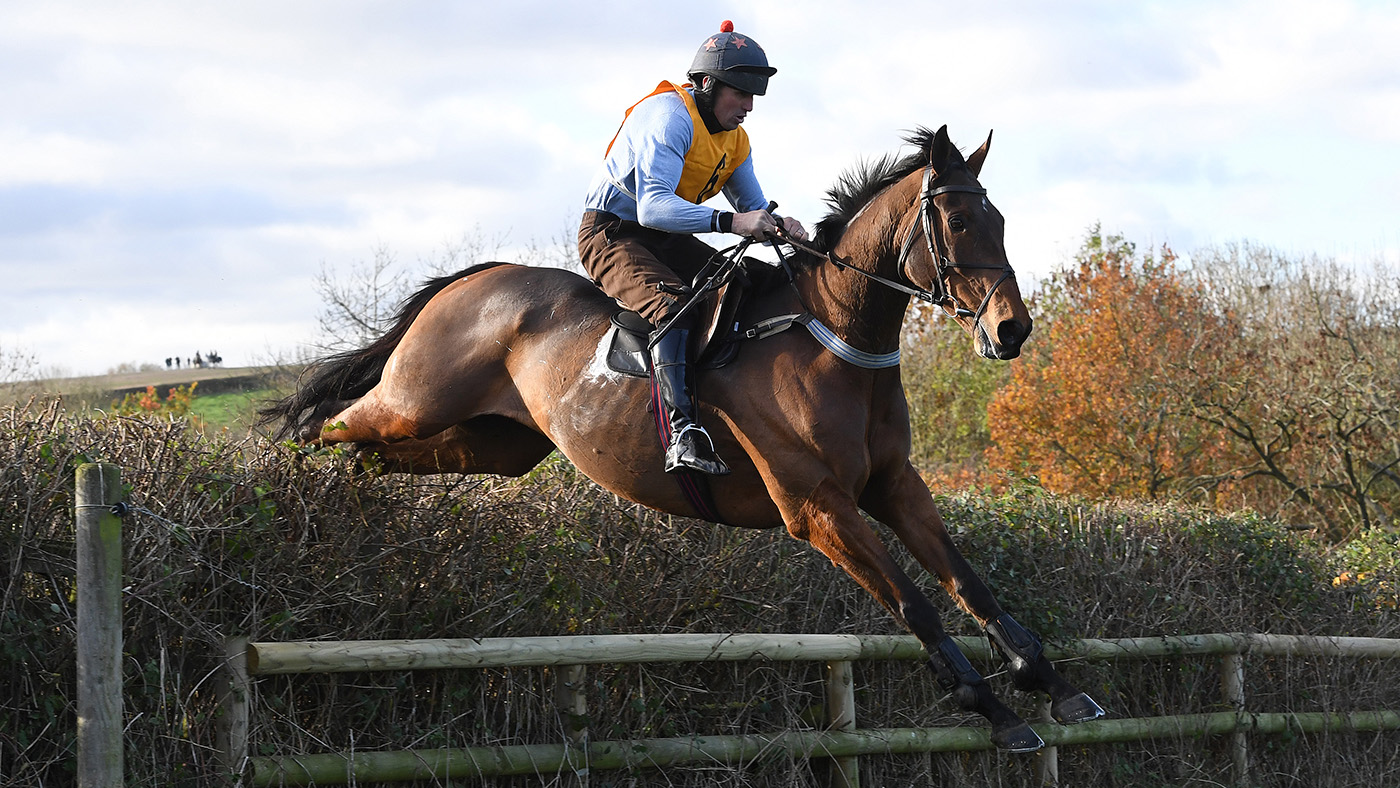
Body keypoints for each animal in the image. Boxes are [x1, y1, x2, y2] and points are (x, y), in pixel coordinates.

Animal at [264, 124, 1103, 750]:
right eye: (957, 222)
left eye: (1000, 220)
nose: (1011, 330)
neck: (836, 339)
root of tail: (477, 277)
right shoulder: (819, 508)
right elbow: (915, 604)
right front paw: (995, 712)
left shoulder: (893, 487)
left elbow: (969, 583)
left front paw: (1054, 685)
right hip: (415, 398)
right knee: (323, 422)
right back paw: (284, 479)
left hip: (494, 446)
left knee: (374, 456)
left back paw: (348, 492)